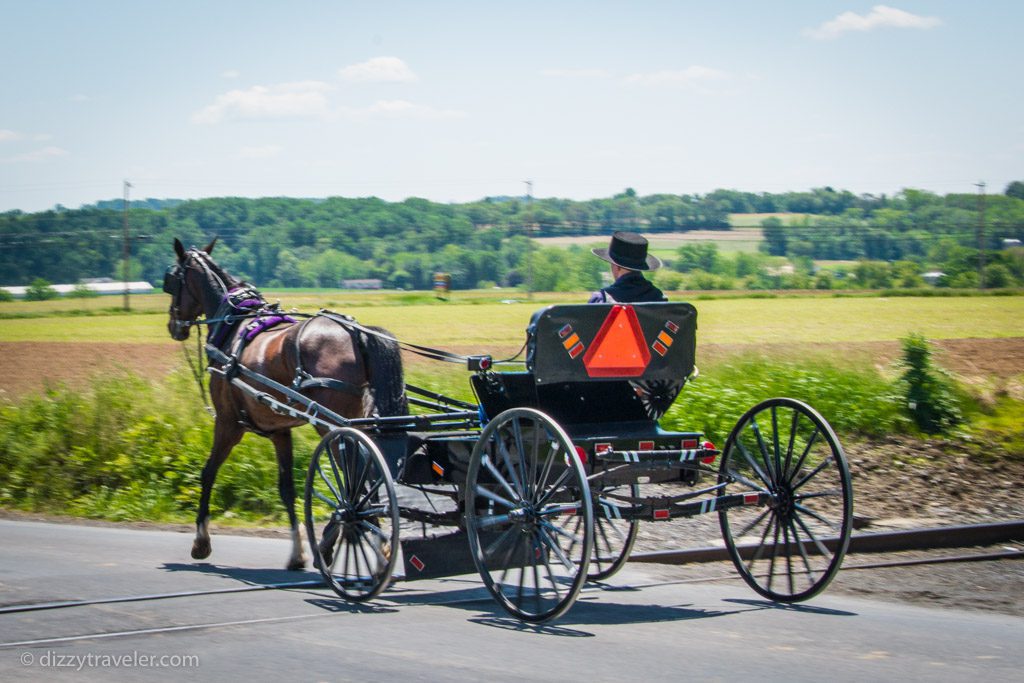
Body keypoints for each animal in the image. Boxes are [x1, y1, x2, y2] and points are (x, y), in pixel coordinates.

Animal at [161, 240, 405, 573]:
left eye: (172, 281)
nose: (173, 326)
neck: (234, 325)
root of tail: (356, 332)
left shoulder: (227, 423)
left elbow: (208, 472)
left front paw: (201, 542)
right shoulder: (279, 431)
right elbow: (287, 488)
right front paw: (297, 552)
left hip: (331, 423)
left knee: (356, 477)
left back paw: (360, 541)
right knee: (367, 472)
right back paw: (345, 542)